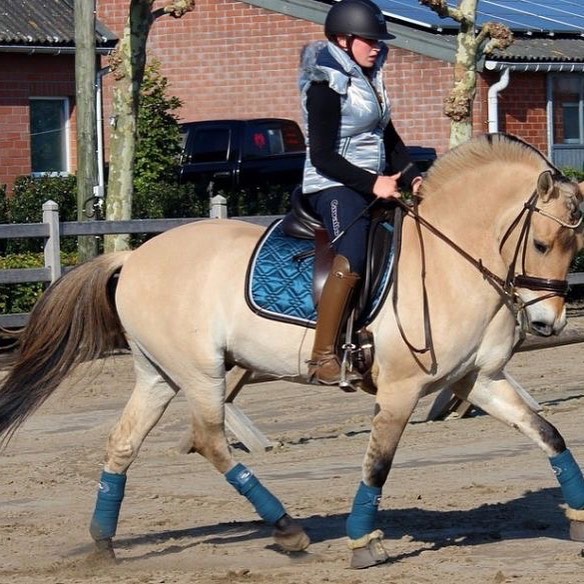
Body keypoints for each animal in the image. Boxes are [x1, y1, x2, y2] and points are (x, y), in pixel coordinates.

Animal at [1, 135, 584, 568]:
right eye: (540, 244)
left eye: (573, 247)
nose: (547, 323)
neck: (449, 261)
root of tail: (134, 258)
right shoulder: (401, 389)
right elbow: (378, 463)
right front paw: (362, 541)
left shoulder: (478, 381)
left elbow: (548, 434)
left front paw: (577, 516)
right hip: (202, 373)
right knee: (210, 441)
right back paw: (287, 529)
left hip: (158, 376)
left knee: (123, 443)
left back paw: (103, 543)